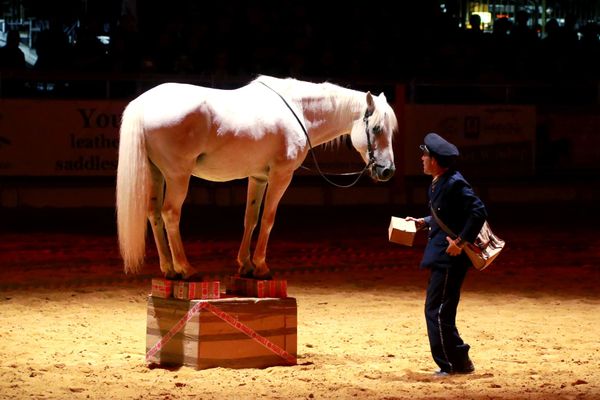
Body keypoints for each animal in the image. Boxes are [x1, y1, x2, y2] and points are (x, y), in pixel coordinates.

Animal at [117, 76, 398, 280]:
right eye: (376, 128)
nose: (387, 170)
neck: (298, 111)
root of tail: (142, 104)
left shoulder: (258, 178)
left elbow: (250, 219)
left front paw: (246, 265)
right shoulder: (280, 176)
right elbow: (267, 219)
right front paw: (262, 267)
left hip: (156, 174)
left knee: (154, 214)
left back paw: (168, 268)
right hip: (178, 176)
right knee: (170, 214)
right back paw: (186, 269)